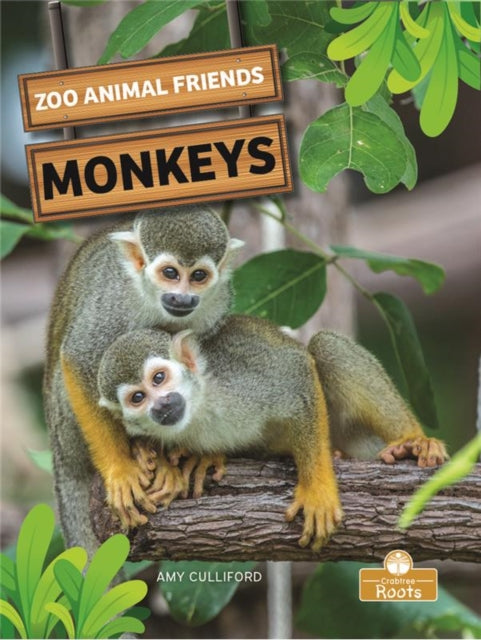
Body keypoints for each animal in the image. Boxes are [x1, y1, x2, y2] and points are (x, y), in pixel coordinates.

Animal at [44, 205, 244, 555]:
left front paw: (196, 452)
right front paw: (119, 468)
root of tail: (59, 456)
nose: (182, 299)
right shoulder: (113, 300)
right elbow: (79, 358)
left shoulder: (217, 301)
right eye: (170, 273)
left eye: (199, 276)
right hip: (65, 431)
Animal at [97, 316, 343, 551]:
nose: (161, 405)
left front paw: (316, 490)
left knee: (326, 346)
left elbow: (298, 375)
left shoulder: (243, 380)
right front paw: (160, 461)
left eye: (159, 378)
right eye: (137, 398)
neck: (200, 406)